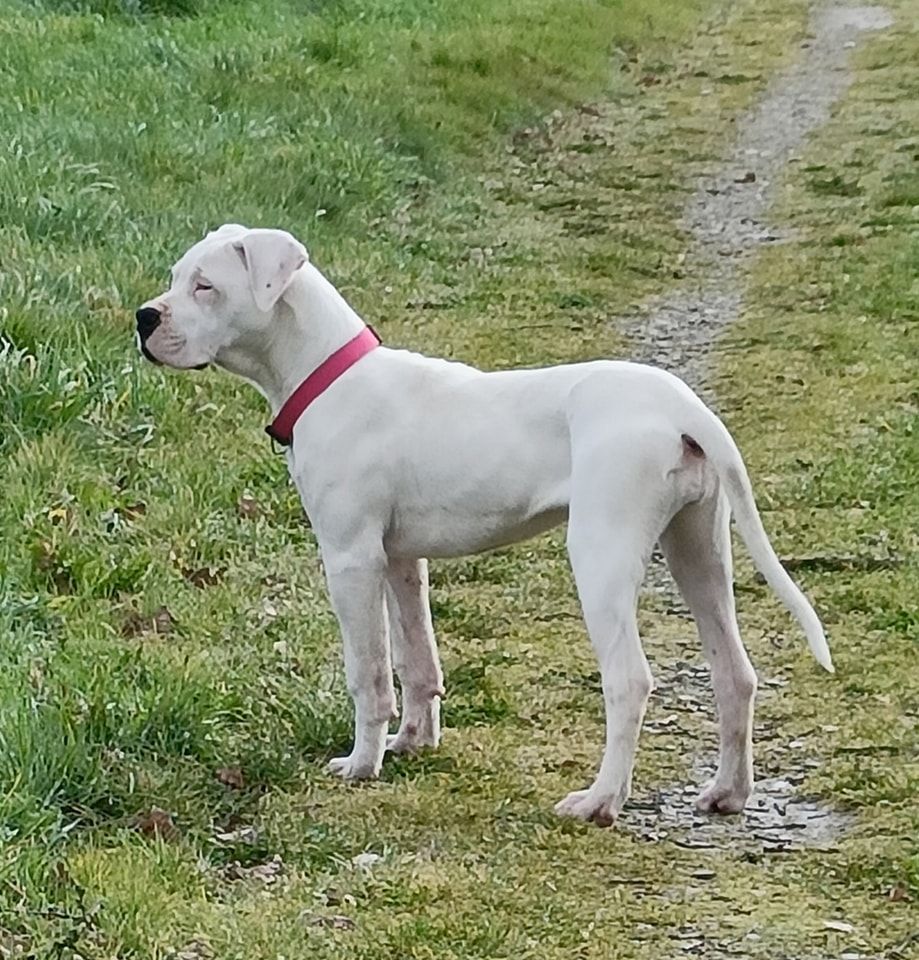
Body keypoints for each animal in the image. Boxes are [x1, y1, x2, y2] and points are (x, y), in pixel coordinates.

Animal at [137, 223, 832, 824]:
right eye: (176, 278)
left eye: (205, 286)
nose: (144, 318)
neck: (326, 380)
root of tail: (685, 409)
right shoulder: (399, 561)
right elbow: (417, 660)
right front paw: (412, 743)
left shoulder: (351, 560)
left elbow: (369, 674)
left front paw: (362, 765)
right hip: (698, 549)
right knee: (735, 674)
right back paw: (727, 794)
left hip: (602, 556)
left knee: (629, 682)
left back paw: (599, 802)